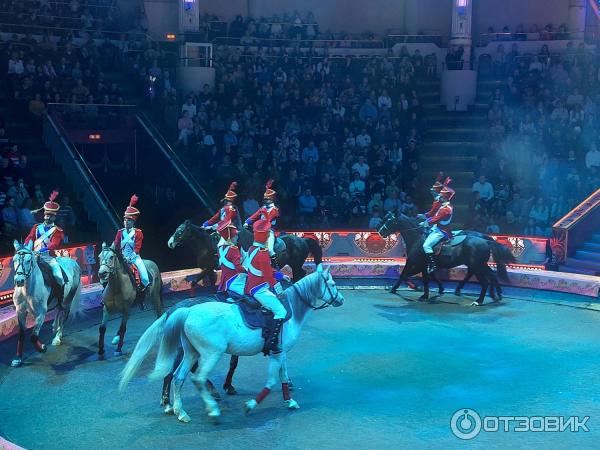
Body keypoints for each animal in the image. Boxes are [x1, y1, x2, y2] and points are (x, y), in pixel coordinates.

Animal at [119, 268, 344, 424]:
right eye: (332, 284)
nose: (341, 299)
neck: (287, 310)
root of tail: (186, 310)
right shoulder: (277, 353)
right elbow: (272, 380)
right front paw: (251, 405)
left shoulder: (280, 352)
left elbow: (282, 375)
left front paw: (289, 399)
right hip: (210, 354)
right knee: (195, 377)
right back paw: (209, 409)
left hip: (190, 353)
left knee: (178, 377)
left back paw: (179, 411)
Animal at [166, 219, 322, 284]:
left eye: (180, 231)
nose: (170, 243)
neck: (208, 246)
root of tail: (303, 240)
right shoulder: (209, 270)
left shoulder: (210, 268)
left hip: (296, 264)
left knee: (300, 274)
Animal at [378, 212, 512, 306]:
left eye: (391, 221)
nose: (380, 232)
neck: (417, 238)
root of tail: (486, 240)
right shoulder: (422, 265)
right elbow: (424, 278)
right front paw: (431, 292)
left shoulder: (416, 263)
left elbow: (407, 276)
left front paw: (416, 289)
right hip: (480, 265)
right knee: (491, 275)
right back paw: (495, 295)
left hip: (477, 266)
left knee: (485, 281)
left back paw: (479, 300)